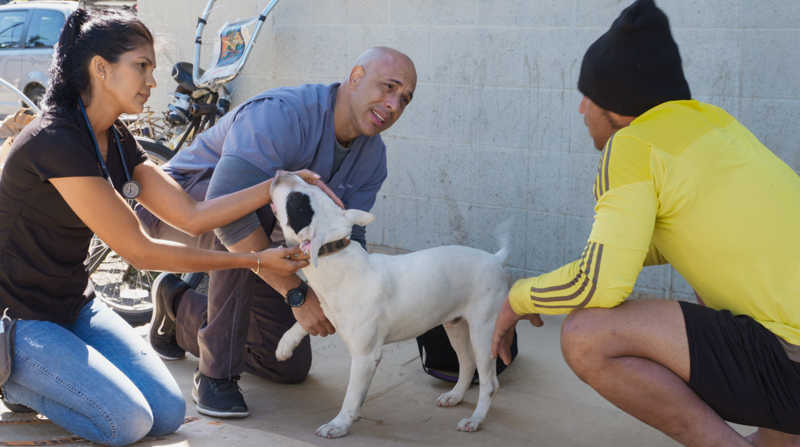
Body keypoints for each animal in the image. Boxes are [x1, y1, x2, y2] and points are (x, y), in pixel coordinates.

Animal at [270, 172, 512, 440]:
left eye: (295, 201)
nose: (282, 173)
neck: (335, 255)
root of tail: (495, 259)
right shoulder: (327, 310)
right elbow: (304, 321)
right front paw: (285, 345)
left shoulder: (365, 356)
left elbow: (351, 396)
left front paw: (340, 424)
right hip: (455, 326)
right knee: (467, 364)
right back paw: (455, 396)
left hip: (483, 332)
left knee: (489, 383)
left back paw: (475, 420)